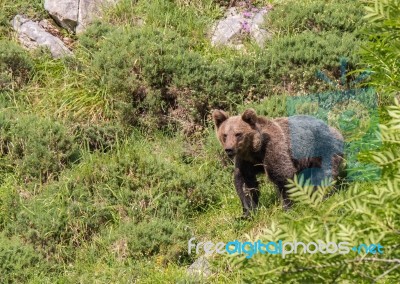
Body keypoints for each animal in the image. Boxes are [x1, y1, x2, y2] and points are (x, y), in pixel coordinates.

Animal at [212, 108, 344, 217]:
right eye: (224, 135)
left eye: (238, 134)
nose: (229, 149)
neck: (255, 151)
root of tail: (335, 129)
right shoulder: (245, 160)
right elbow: (245, 183)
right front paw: (247, 213)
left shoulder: (273, 148)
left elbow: (282, 174)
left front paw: (287, 207)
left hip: (321, 147)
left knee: (323, 173)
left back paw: (320, 195)